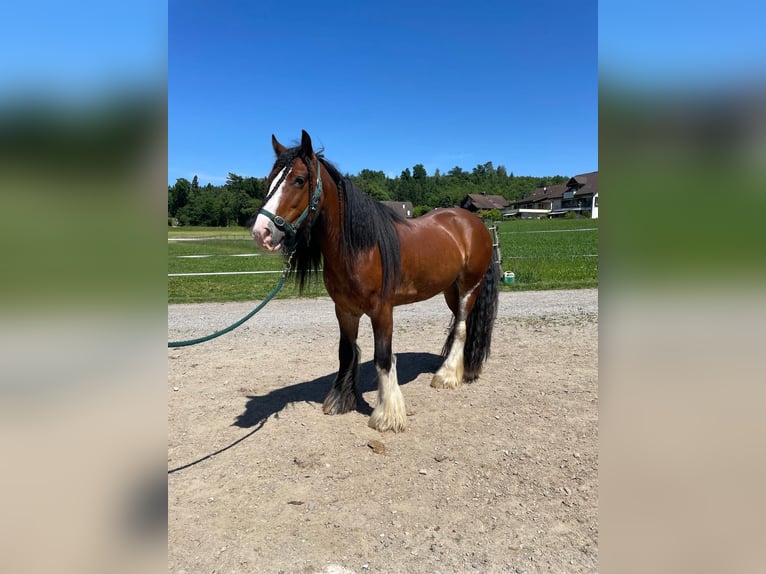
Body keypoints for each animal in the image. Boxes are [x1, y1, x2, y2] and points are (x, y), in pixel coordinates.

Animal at [251, 130, 499, 432]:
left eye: (298, 179)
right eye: (270, 179)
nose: (261, 233)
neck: (359, 248)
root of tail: (475, 223)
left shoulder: (382, 311)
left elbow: (383, 357)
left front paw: (388, 415)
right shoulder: (344, 310)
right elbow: (346, 352)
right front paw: (341, 400)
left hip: (468, 288)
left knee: (462, 327)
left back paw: (447, 376)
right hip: (450, 290)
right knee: (459, 327)